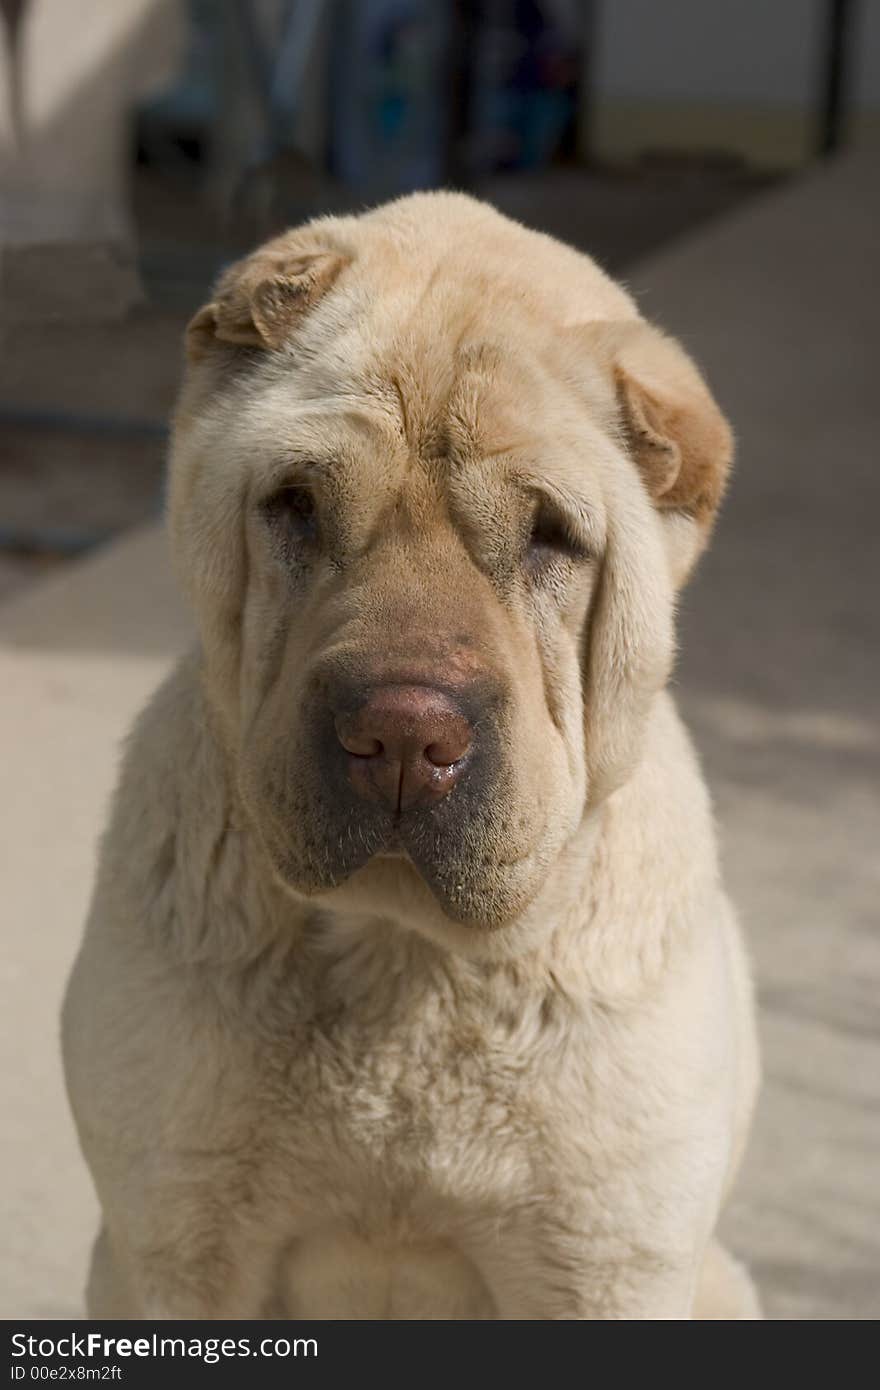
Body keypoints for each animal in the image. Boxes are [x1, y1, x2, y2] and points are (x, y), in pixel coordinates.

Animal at [65, 190, 756, 1317]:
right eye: (298, 504)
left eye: (549, 535)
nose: (403, 731)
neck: (403, 966)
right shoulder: (171, 1247)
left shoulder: (608, 1265)